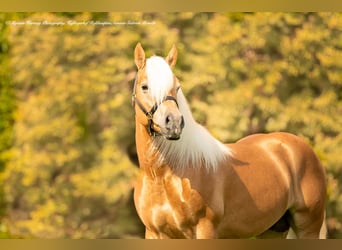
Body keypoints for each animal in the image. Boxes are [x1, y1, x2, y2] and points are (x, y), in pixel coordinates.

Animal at [130, 42, 326, 238]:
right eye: (144, 87)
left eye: (177, 87)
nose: (174, 123)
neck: (162, 176)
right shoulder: (154, 233)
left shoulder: (205, 229)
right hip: (274, 229)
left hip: (308, 226)